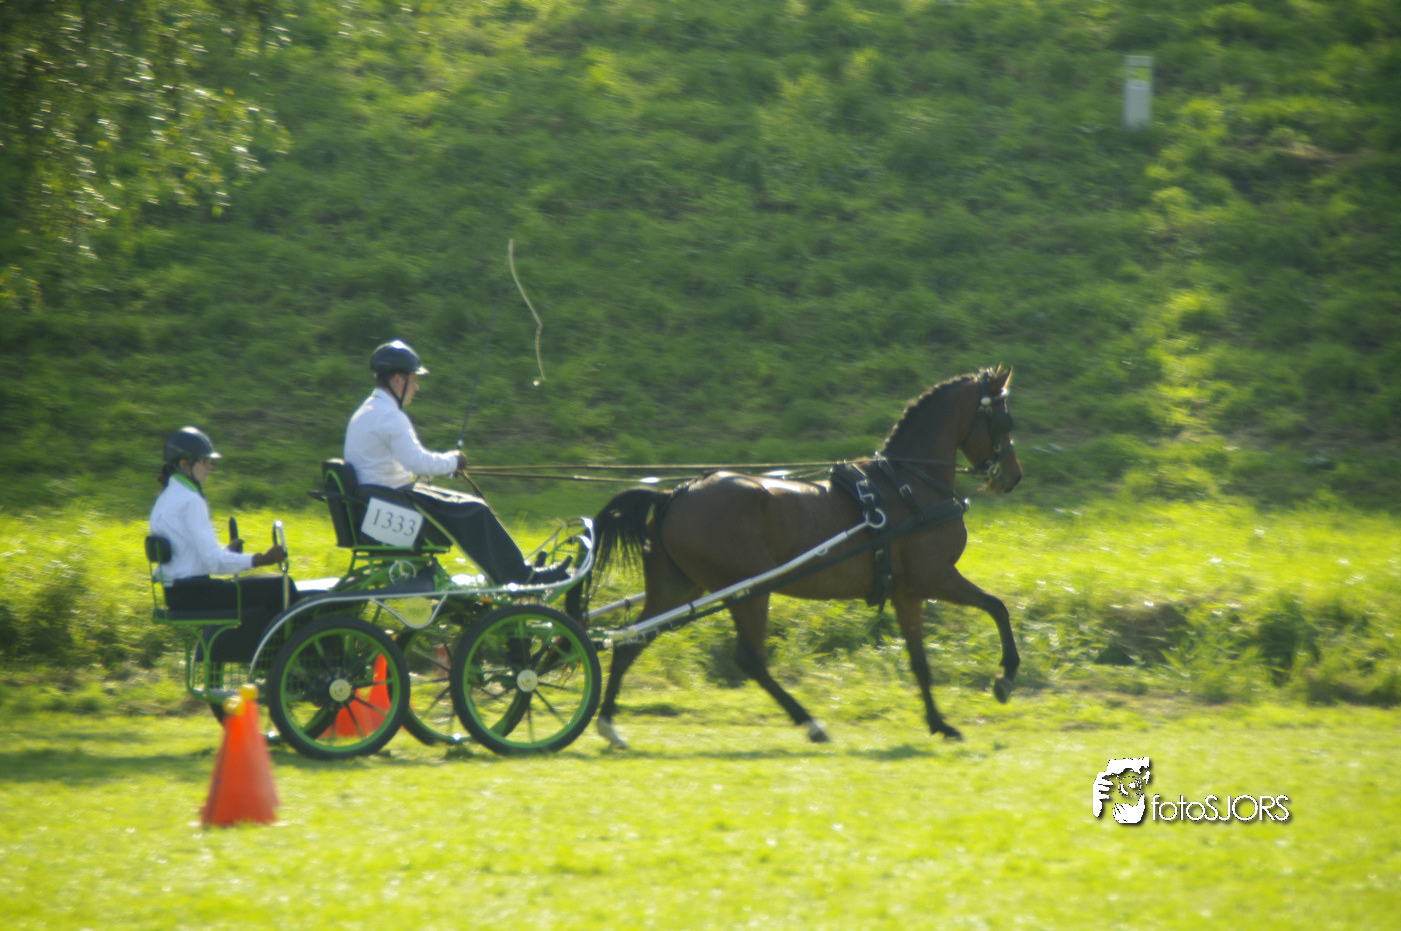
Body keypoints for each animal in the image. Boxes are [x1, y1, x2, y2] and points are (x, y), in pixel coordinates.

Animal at [585, 366, 1023, 749]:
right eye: (1005, 421)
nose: (1013, 477)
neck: (909, 484)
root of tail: (676, 493)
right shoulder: (935, 576)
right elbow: (997, 607)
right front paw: (1005, 678)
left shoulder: (907, 593)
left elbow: (920, 660)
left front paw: (939, 723)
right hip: (748, 589)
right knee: (750, 659)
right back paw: (811, 723)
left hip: (678, 590)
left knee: (629, 642)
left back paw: (608, 725)